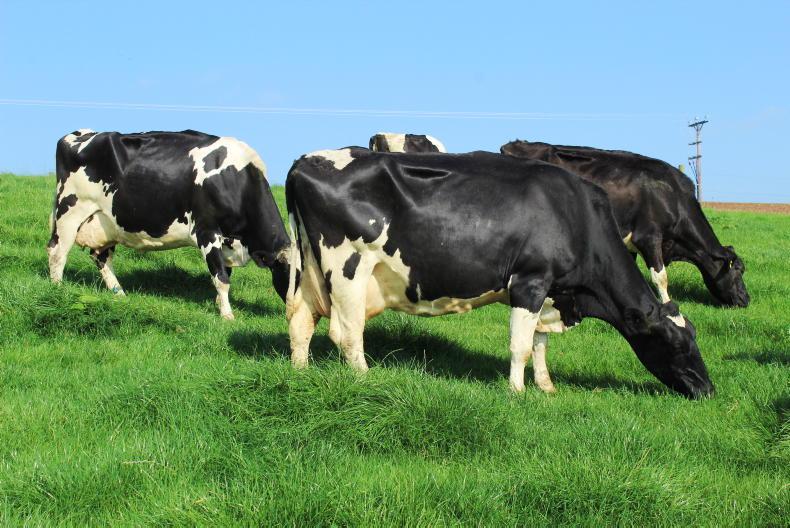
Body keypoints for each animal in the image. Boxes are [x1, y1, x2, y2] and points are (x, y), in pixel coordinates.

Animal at [48, 129, 290, 319]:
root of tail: (80, 133)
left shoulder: (225, 240)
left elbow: (224, 273)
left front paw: (219, 304)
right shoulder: (207, 231)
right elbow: (221, 277)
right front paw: (227, 315)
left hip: (107, 223)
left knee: (101, 257)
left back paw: (120, 294)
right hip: (69, 212)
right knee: (57, 252)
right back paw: (57, 289)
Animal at [284, 148, 714, 398]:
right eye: (677, 344)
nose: (708, 389)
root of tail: (304, 160)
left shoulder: (551, 290)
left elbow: (540, 342)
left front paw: (546, 386)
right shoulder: (530, 281)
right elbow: (521, 345)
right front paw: (517, 392)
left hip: (310, 274)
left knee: (301, 322)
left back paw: (300, 373)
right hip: (348, 268)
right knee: (346, 332)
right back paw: (365, 378)